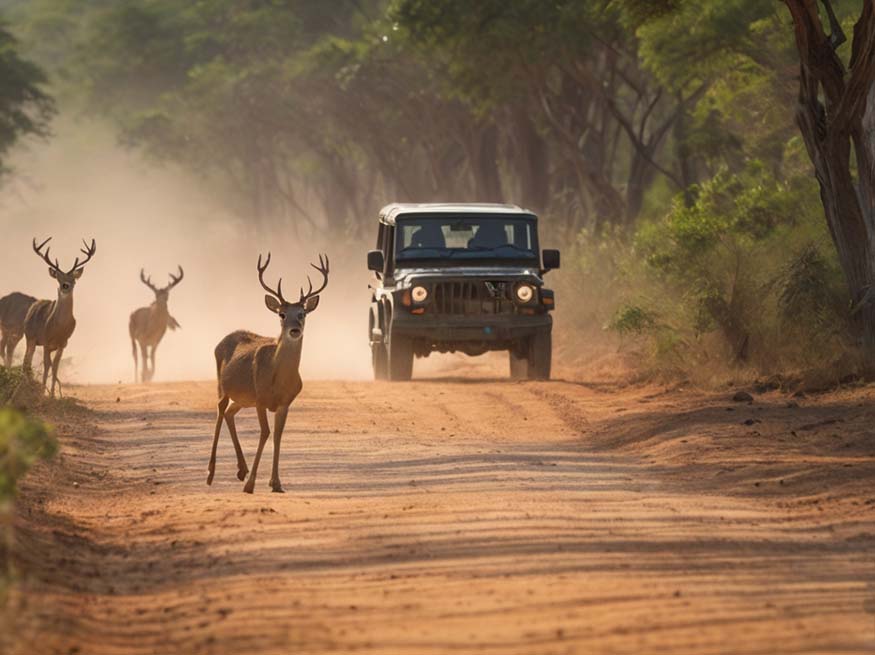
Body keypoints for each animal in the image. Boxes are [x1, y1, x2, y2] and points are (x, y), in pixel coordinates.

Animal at [22, 238, 97, 398]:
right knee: (27, 361)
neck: (58, 328)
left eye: (74, 279)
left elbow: (55, 367)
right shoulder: (45, 341)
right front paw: (43, 393)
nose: (65, 286)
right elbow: (46, 367)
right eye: (58, 278)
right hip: (30, 337)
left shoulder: (63, 344)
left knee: (33, 362)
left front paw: (52, 394)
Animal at [208, 251, 328, 492]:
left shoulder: (285, 403)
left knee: (229, 413)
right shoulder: (261, 399)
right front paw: (252, 485)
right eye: (281, 314)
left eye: (302, 313)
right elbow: (265, 433)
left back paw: (241, 469)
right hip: (222, 386)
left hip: (244, 398)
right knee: (219, 411)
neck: (277, 379)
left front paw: (276, 483)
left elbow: (278, 435)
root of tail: (221, 341)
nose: (294, 330)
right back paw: (211, 473)